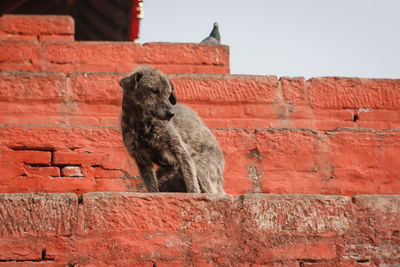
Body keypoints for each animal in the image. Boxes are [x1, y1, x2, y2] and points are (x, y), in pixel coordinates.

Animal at [119, 65, 225, 195]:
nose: (171, 114)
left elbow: (189, 175)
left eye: (168, 94)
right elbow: (151, 184)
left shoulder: (179, 149)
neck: (142, 122)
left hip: (201, 166)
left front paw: (193, 192)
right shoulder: (141, 157)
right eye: (154, 90)